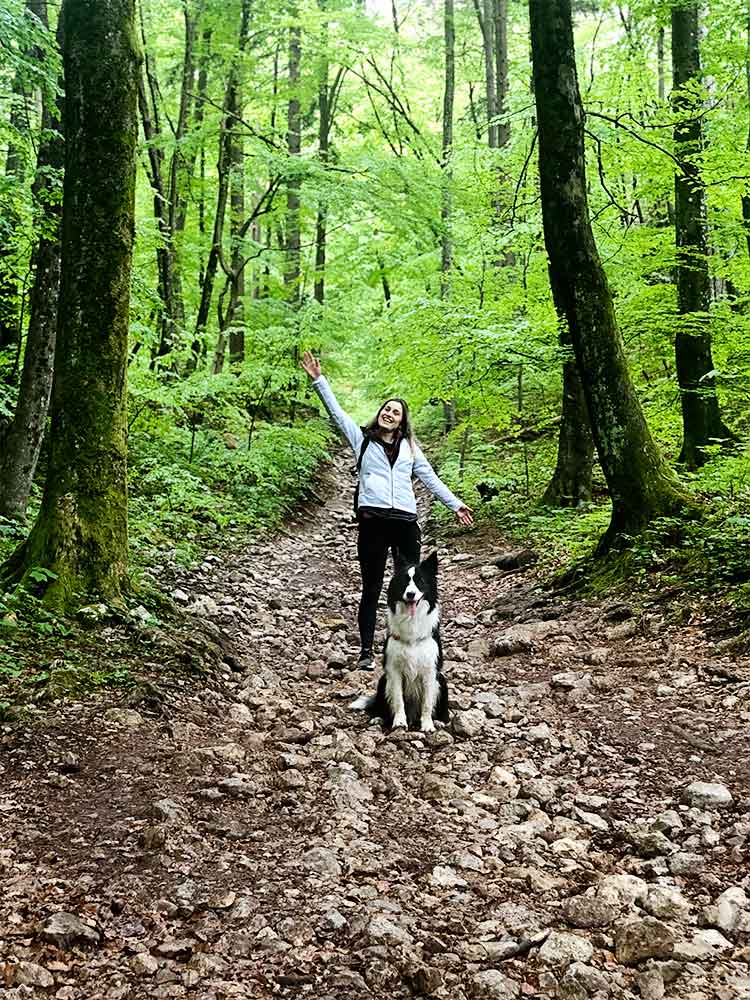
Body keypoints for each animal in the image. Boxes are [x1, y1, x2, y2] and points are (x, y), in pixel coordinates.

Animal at [352, 552, 450, 732]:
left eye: (420, 581)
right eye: (404, 581)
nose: (410, 594)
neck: (411, 622)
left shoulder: (429, 671)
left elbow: (427, 703)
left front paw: (427, 725)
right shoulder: (394, 670)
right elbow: (398, 700)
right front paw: (399, 722)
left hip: (442, 681)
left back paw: (439, 721)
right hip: (383, 681)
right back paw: (379, 718)